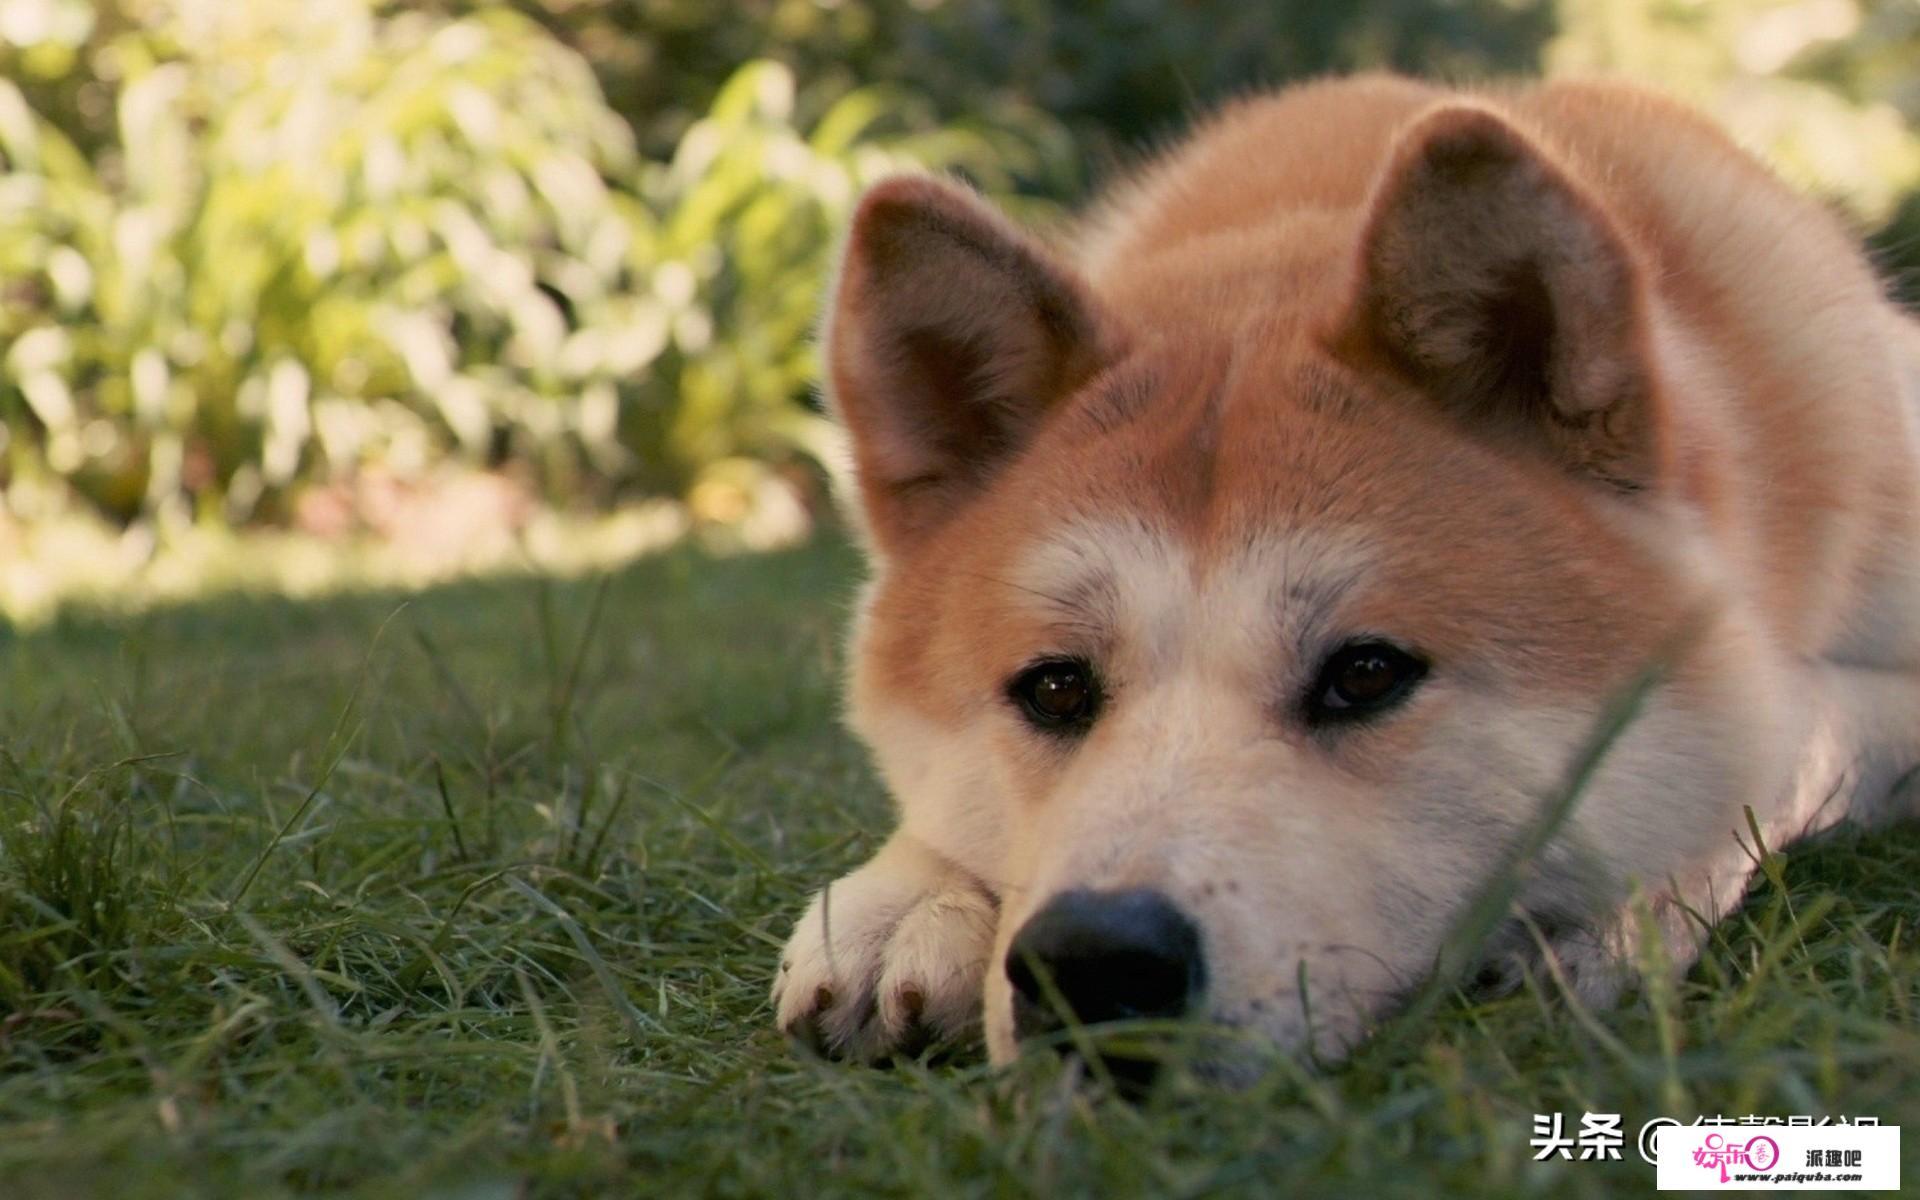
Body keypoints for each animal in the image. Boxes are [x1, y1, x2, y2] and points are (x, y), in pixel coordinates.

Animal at [768, 74, 1920, 1082]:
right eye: (1054, 688)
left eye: (1366, 674)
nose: (1093, 962)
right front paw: (907, 902)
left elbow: (1786, 741)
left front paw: (1620, 911)